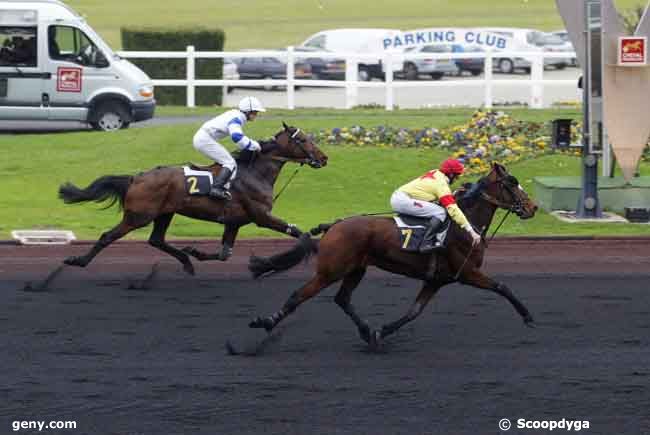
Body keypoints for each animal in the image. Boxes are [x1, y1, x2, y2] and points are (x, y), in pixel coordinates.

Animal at [58, 121, 326, 274]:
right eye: (303, 140)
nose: (324, 158)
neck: (254, 172)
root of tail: (135, 178)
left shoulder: (234, 222)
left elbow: (224, 254)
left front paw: (195, 251)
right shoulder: (262, 216)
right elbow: (299, 233)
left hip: (164, 213)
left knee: (156, 240)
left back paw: (186, 260)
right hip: (138, 216)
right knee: (108, 236)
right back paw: (78, 261)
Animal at [248, 164, 536, 348]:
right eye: (512, 184)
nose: (532, 207)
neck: (464, 226)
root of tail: (334, 226)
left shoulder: (437, 280)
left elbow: (413, 312)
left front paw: (382, 331)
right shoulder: (467, 272)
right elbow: (502, 286)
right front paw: (528, 317)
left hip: (356, 269)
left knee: (342, 299)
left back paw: (366, 332)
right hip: (331, 270)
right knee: (299, 295)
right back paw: (266, 322)